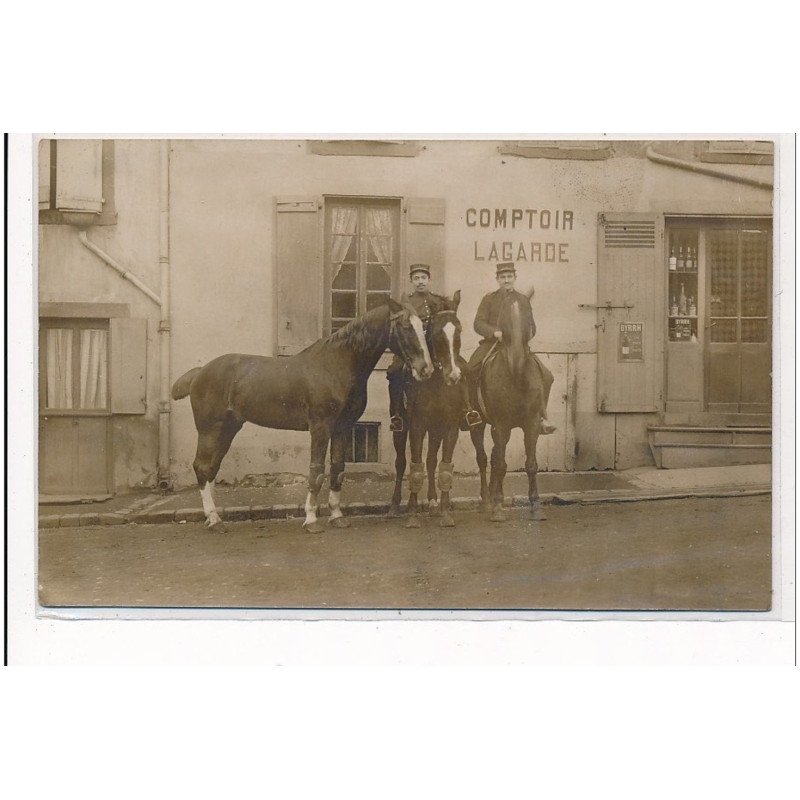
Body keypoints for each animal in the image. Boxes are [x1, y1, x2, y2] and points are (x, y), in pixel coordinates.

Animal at [169, 298, 432, 532]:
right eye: (405, 326)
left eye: (423, 326)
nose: (425, 369)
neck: (336, 364)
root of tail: (200, 372)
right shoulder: (320, 427)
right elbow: (316, 471)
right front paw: (311, 520)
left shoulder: (343, 427)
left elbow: (337, 468)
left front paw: (337, 516)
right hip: (210, 429)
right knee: (202, 466)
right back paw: (214, 519)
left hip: (228, 429)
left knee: (211, 468)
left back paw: (212, 517)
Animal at [390, 290, 466, 528]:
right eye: (437, 332)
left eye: (459, 329)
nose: (454, 375)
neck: (437, 382)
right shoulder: (417, 426)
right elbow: (415, 467)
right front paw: (413, 513)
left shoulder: (449, 427)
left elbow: (444, 467)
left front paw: (444, 511)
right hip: (400, 427)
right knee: (401, 463)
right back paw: (395, 503)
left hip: (436, 430)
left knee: (432, 461)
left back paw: (432, 502)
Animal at [468, 290, 552, 520]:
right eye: (504, 314)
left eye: (528, 311)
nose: (516, 356)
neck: (516, 378)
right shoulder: (502, 426)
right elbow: (500, 464)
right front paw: (497, 506)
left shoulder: (531, 425)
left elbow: (531, 464)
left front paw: (535, 506)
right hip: (479, 425)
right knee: (483, 458)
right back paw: (487, 501)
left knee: (494, 456)